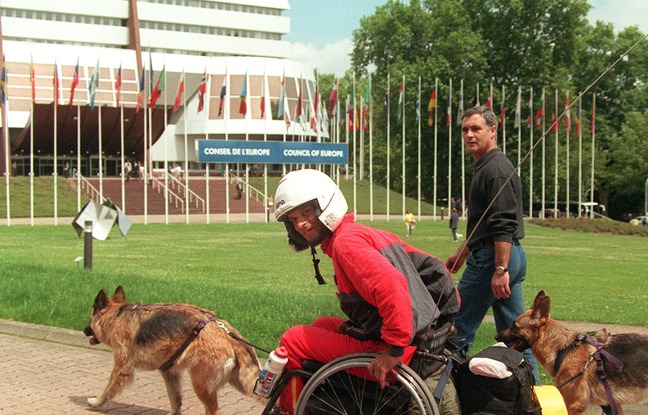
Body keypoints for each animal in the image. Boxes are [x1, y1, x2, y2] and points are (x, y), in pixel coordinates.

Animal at [84, 288, 264, 415]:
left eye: (90, 318)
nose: (85, 330)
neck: (117, 316)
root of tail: (229, 335)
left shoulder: (121, 368)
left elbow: (108, 388)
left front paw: (96, 402)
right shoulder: (169, 373)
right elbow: (175, 400)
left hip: (201, 385)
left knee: (215, 411)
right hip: (241, 383)